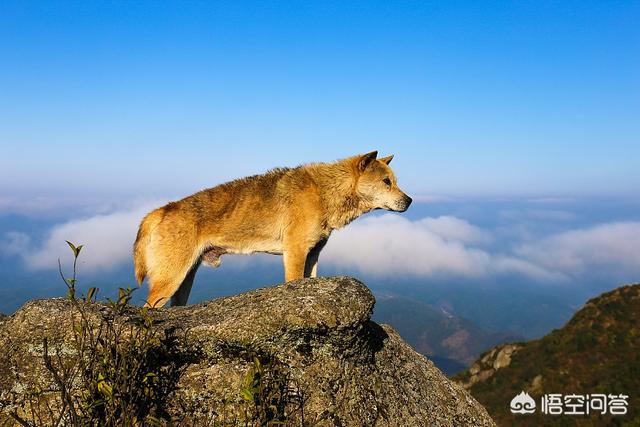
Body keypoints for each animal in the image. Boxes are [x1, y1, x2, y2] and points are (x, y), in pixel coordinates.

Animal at [134, 151, 412, 308]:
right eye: (386, 182)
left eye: (395, 182)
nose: (409, 201)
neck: (325, 192)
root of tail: (162, 210)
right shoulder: (295, 253)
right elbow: (294, 281)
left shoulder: (312, 256)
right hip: (169, 282)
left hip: (183, 282)